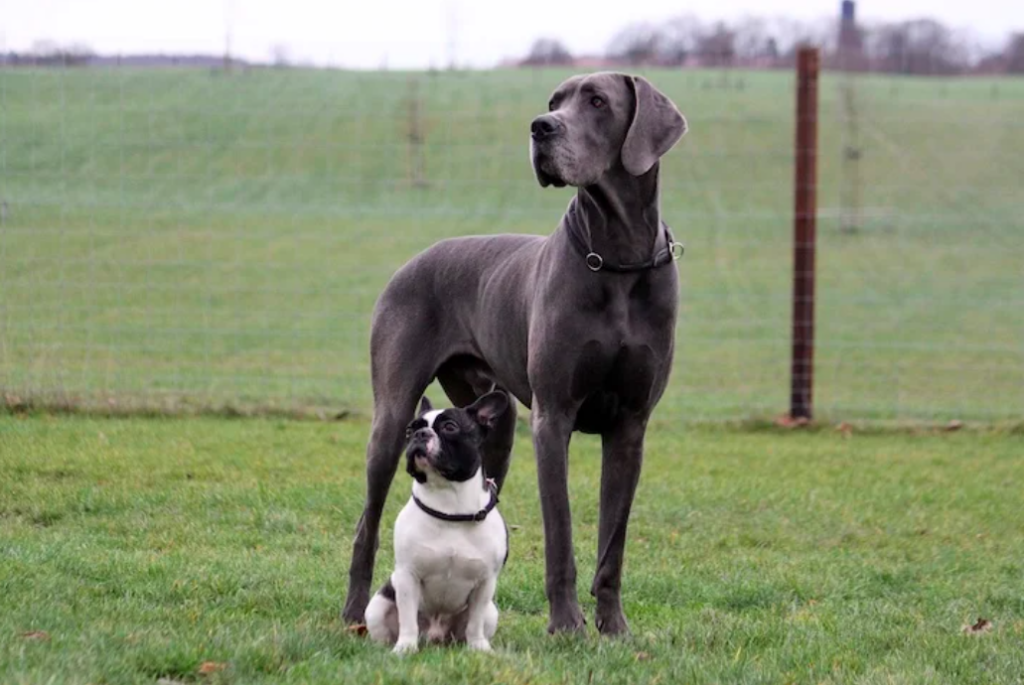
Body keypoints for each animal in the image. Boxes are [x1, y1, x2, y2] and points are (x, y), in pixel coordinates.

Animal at [368, 389, 512, 651]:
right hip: (378, 605)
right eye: (409, 430)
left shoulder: (486, 582)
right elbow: (407, 618)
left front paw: (479, 648)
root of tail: (435, 636)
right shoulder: (407, 576)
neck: (450, 508)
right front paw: (405, 648)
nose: (420, 434)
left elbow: (475, 621)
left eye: (450, 427)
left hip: (491, 612)